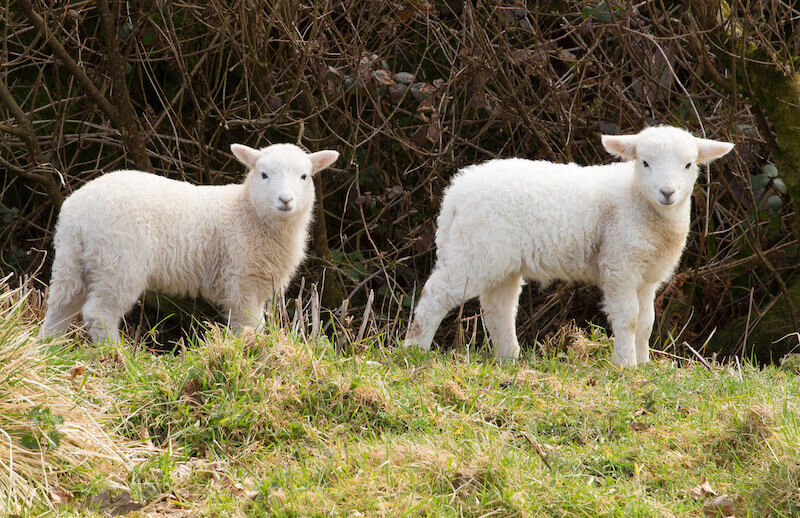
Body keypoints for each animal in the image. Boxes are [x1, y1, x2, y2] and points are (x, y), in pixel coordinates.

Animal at [41, 143, 339, 344]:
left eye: (304, 176)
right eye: (263, 174)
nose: (285, 200)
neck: (248, 213)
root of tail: (78, 211)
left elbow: (256, 323)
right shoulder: (242, 279)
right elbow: (247, 324)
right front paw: (249, 351)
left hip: (73, 258)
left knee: (60, 305)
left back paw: (50, 348)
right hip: (119, 262)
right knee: (99, 313)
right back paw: (116, 355)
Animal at [403, 126, 733, 366]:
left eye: (688, 165)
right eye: (645, 162)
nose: (668, 192)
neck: (638, 202)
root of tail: (455, 193)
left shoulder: (648, 275)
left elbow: (647, 322)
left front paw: (644, 365)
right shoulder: (620, 265)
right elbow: (628, 318)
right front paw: (625, 365)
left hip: (500, 259)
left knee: (498, 308)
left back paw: (509, 359)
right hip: (475, 251)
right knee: (436, 295)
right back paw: (414, 350)